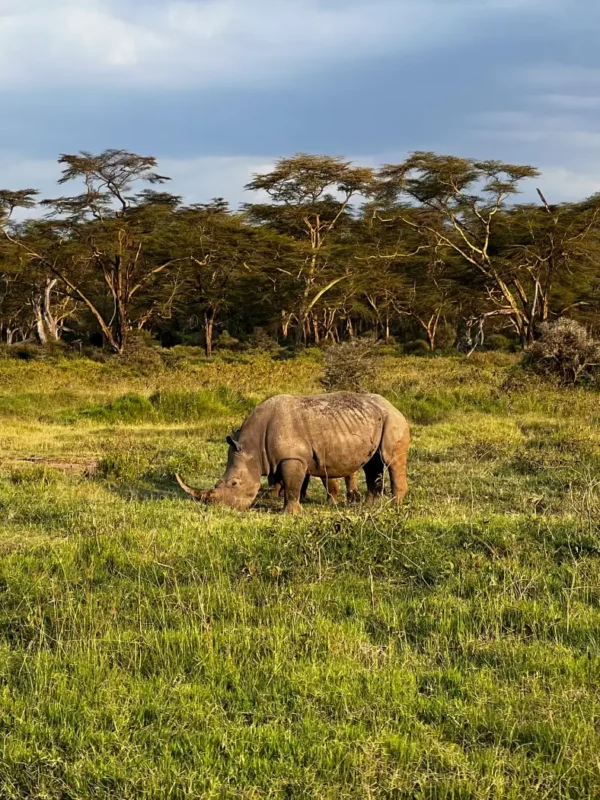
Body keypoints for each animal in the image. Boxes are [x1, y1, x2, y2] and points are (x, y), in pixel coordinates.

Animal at [176, 392, 410, 514]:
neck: (252, 445)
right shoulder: (277, 459)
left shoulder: (292, 457)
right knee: (372, 464)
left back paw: (394, 508)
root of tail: (395, 406)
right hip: (375, 421)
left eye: (234, 483)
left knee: (391, 460)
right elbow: (283, 482)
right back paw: (370, 507)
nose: (218, 507)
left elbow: (291, 485)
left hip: (393, 421)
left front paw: (288, 514)